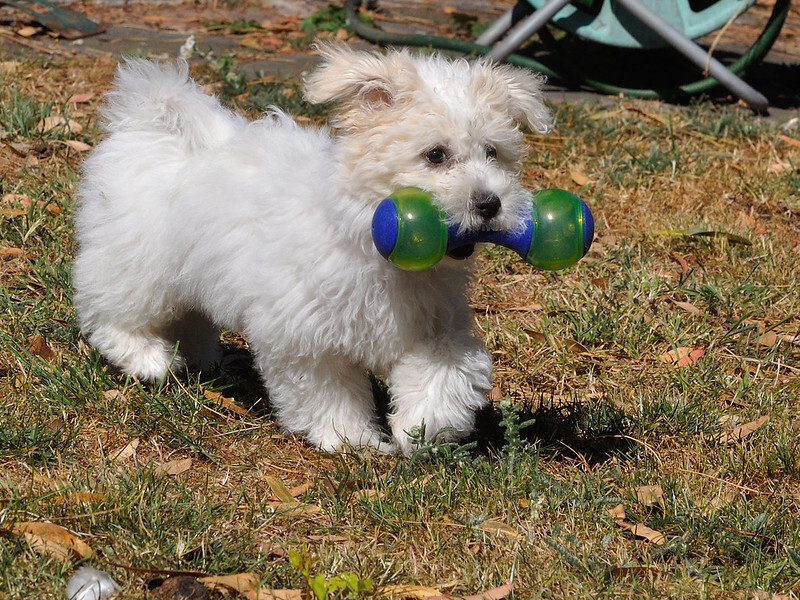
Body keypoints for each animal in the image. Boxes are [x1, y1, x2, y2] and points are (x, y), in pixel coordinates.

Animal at [72, 43, 552, 454]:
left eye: (493, 153)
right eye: (435, 155)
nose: (489, 203)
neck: (367, 235)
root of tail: (151, 122)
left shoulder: (431, 326)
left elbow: (447, 372)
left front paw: (422, 428)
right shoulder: (307, 337)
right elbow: (329, 392)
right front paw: (350, 439)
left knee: (188, 311)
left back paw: (199, 355)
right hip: (139, 259)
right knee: (113, 308)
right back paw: (147, 358)